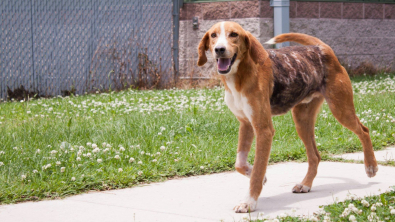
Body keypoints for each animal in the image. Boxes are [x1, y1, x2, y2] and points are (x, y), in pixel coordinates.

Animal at [198, 21, 380, 213]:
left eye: (234, 34)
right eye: (213, 35)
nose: (219, 49)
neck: (239, 76)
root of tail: (320, 47)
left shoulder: (264, 130)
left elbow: (257, 170)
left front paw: (249, 202)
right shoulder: (246, 124)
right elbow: (240, 164)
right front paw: (256, 175)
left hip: (341, 109)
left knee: (364, 131)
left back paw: (371, 166)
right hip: (302, 121)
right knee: (315, 156)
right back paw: (305, 184)